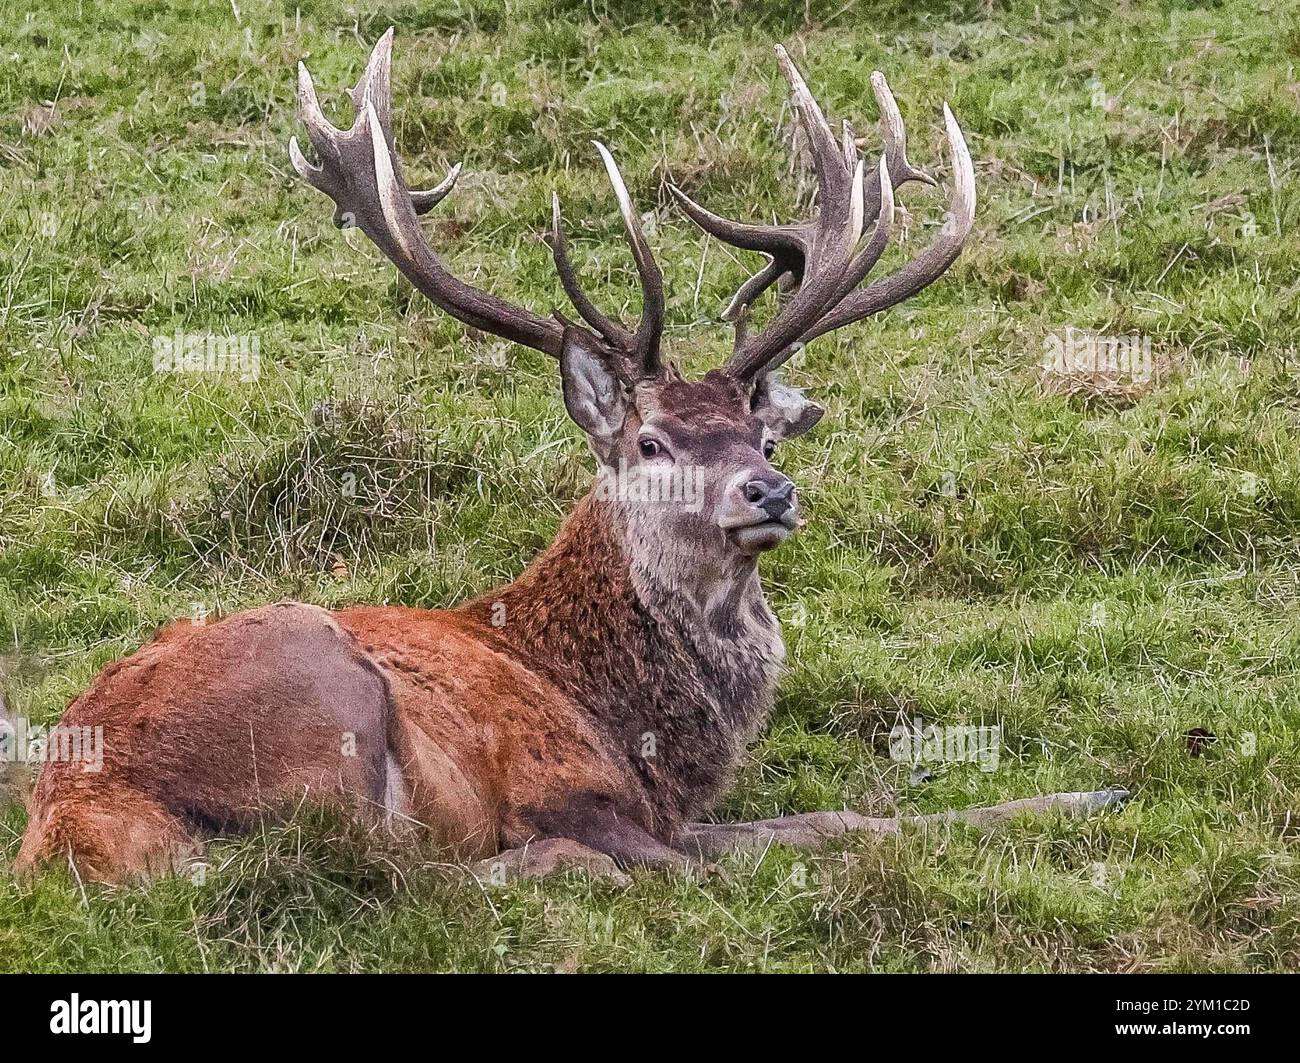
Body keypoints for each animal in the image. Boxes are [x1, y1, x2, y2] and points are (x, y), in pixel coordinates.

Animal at [15, 31, 1126, 885]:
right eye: (651, 439)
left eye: (762, 434)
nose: (770, 489)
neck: (637, 726)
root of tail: (72, 816)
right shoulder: (575, 793)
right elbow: (775, 844)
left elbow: (836, 817)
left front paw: (1097, 791)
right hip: (323, 698)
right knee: (384, 875)